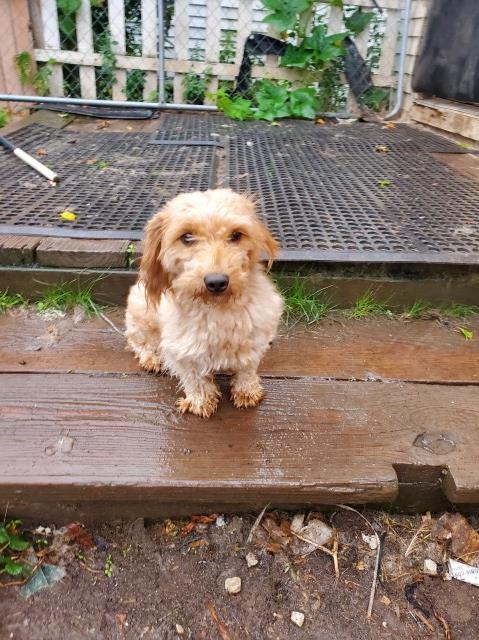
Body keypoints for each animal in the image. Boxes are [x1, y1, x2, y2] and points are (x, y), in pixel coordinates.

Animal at [124, 189, 284, 420]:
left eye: (236, 235)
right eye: (187, 237)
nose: (216, 282)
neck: (218, 309)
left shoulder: (254, 339)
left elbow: (246, 369)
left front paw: (247, 392)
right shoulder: (182, 350)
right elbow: (195, 379)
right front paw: (201, 402)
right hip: (141, 312)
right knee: (138, 340)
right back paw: (152, 358)